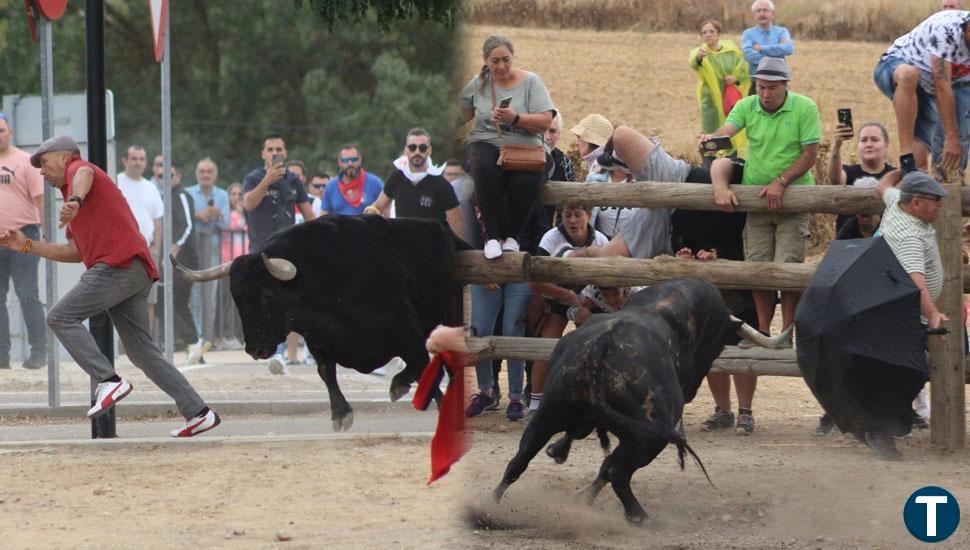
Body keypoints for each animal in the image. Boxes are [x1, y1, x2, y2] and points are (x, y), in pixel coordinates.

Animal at [174, 216, 468, 432]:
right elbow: (326, 371)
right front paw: (340, 414)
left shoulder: (408, 334)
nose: (254, 349)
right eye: (236, 298)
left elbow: (418, 364)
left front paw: (399, 386)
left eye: (267, 295)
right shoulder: (318, 339)